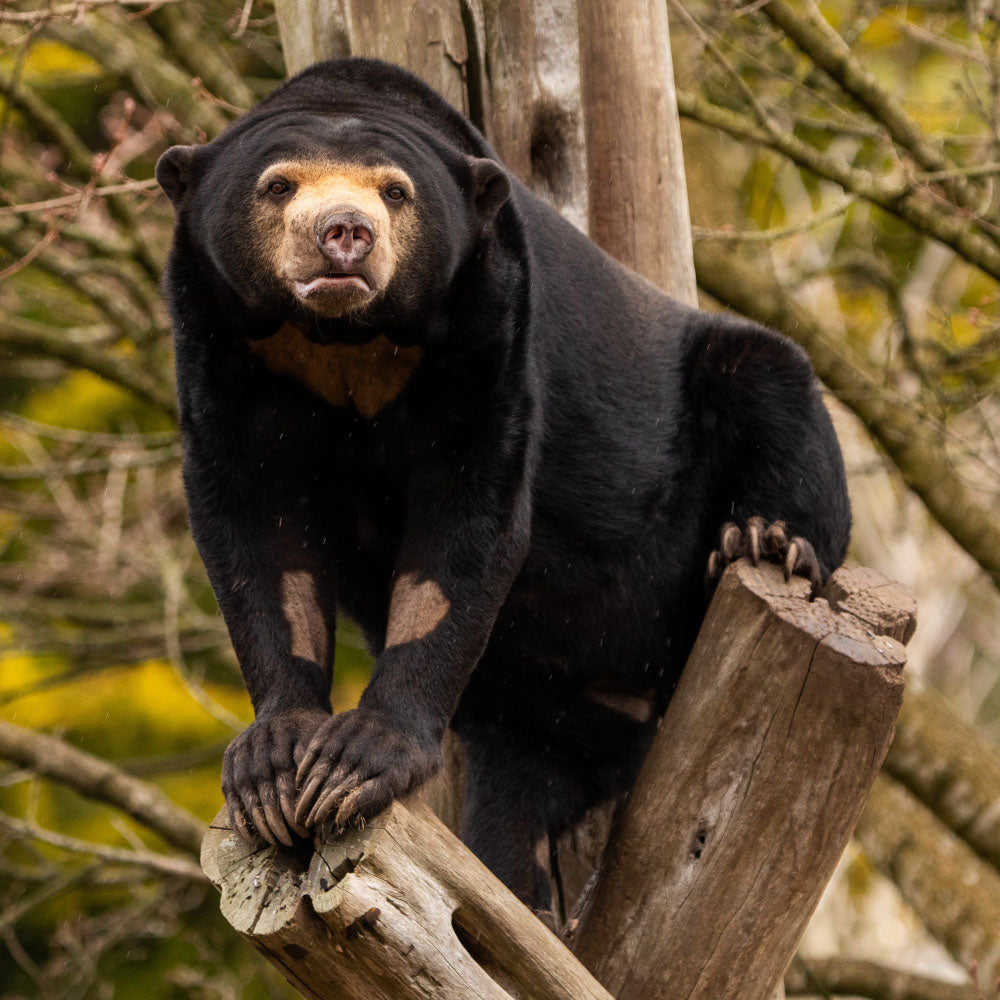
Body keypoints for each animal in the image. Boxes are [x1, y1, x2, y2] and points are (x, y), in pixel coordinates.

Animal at [155, 56, 850, 914]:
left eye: (395, 191)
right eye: (278, 185)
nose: (344, 233)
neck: (345, 341)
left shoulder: (491, 317)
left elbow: (468, 523)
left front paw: (357, 760)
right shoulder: (218, 341)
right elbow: (259, 538)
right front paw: (272, 763)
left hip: (709, 407)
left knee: (771, 387)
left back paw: (766, 540)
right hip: (532, 714)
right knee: (521, 792)